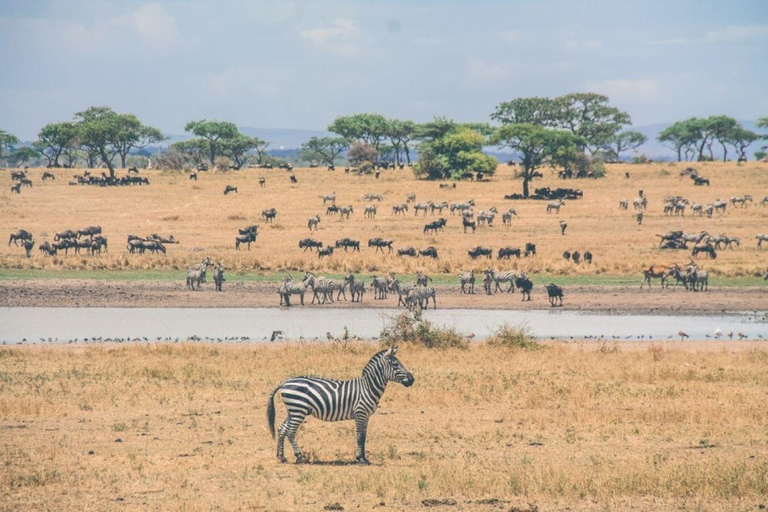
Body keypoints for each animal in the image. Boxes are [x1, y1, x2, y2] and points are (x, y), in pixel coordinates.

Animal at [268, 348, 416, 464]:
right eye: (395, 364)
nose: (412, 379)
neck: (368, 387)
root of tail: (285, 382)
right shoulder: (360, 413)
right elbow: (360, 436)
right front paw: (361, 459)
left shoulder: (366, 416)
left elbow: (364, 436)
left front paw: (363, 458)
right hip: (298, 410)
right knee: (290, 432)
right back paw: (300, 457)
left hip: (292, 411)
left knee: (282, 429)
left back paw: (281, 457)